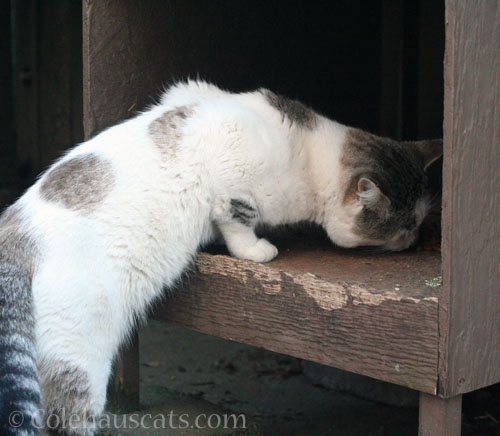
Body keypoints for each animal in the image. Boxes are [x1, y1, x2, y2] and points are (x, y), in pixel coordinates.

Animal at [0, 80, 440, 434]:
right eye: (403, 226)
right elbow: (237, 221)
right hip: (79, 358)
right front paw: (259, 250)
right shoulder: (233, 181)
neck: (306, 150)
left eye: (419, 221)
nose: (412, 240)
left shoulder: (188, 93)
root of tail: (14, 237)